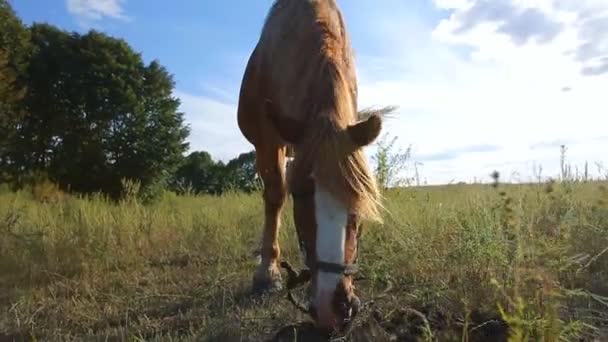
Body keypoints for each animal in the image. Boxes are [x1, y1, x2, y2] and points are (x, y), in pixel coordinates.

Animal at [236, 0, 394, 332]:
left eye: (359, 205)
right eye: (300, 195)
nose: (333, 308)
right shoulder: (269, 140)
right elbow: (275, 196)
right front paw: (267, 273)